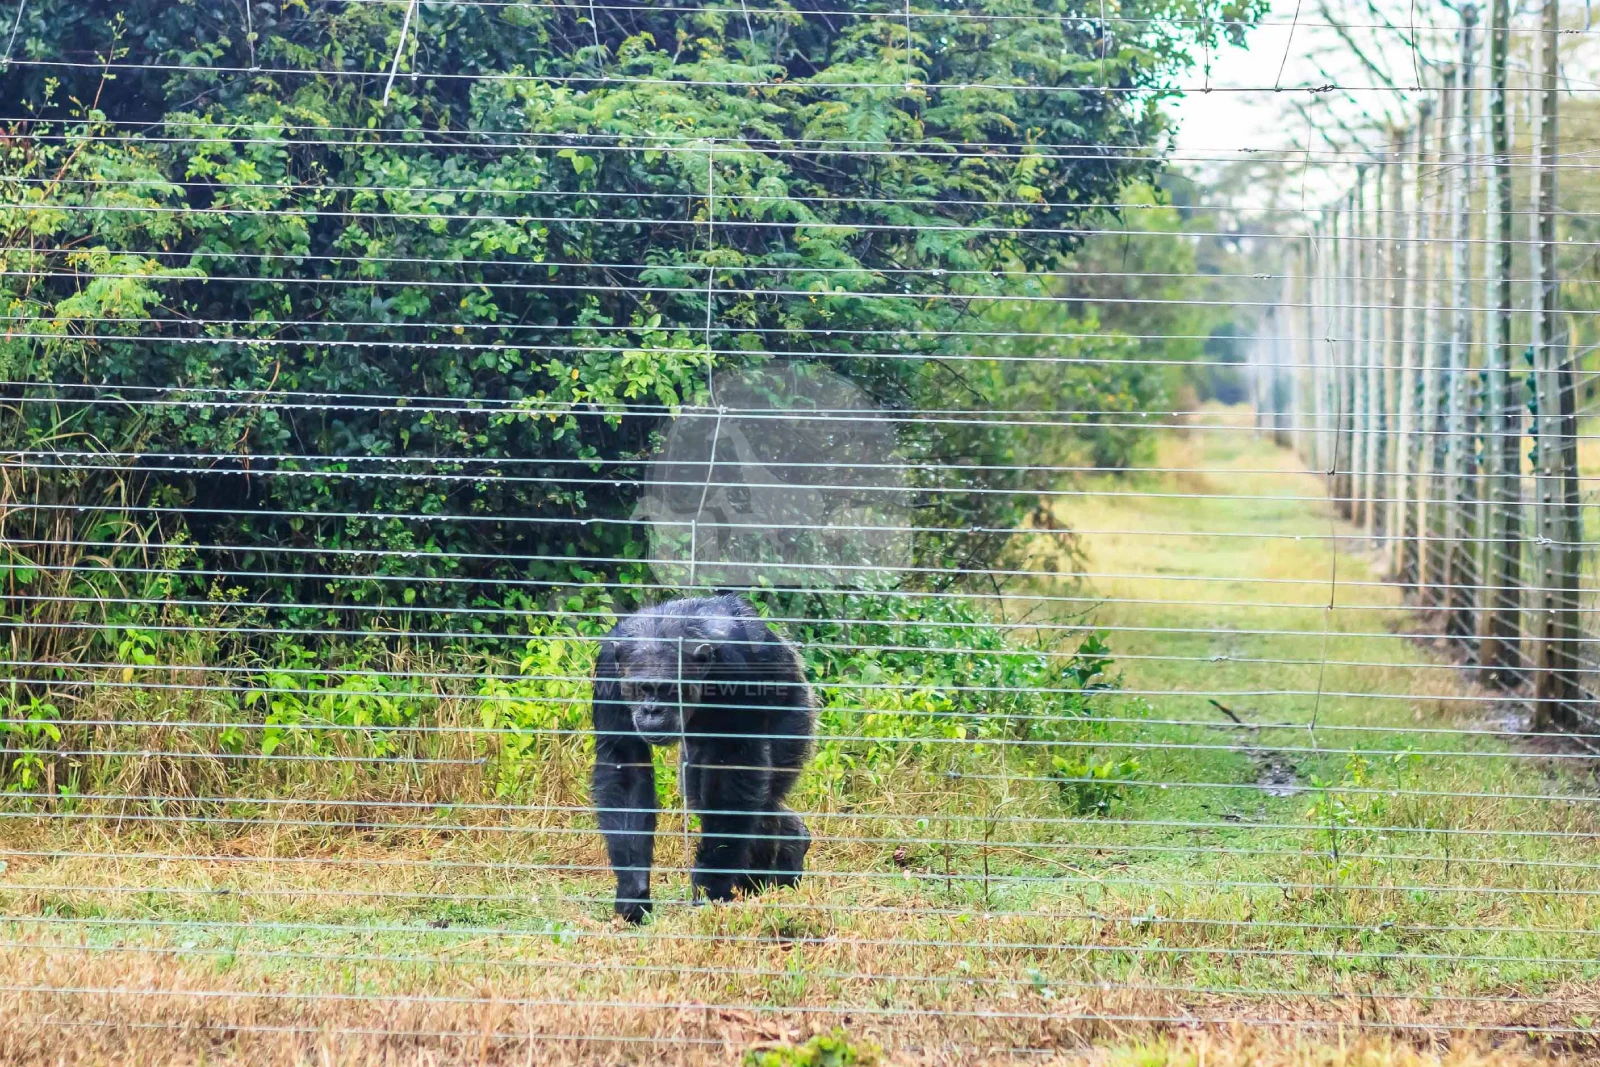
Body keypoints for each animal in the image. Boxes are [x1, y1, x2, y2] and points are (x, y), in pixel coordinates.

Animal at [589, 594, 815, 923]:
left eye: (667, 690)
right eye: (642, 688)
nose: (651, 710)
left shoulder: (737, 667)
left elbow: (734, 767)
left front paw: (712, 885)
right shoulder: (609, 667)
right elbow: (625, 761)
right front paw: (633, 889)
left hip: (797, 715)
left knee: (761, 798)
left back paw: (771, 872)